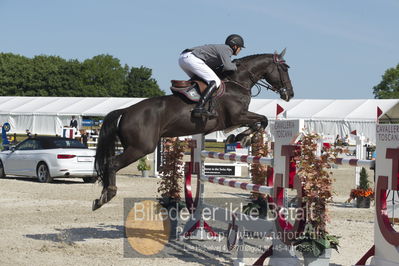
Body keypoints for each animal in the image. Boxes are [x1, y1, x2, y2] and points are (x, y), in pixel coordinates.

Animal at [93, 48, 294, 210]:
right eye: (284, 69)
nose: (290, 94)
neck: (237, 82)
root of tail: (126, 110)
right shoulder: (237, 116)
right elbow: (263, 120)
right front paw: (242, 138)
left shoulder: (235, 120)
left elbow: (258, 122)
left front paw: (237, 137)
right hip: (140, 147)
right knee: (112, 163)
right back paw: (106, 195)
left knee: (109, 162)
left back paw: (102, 196)